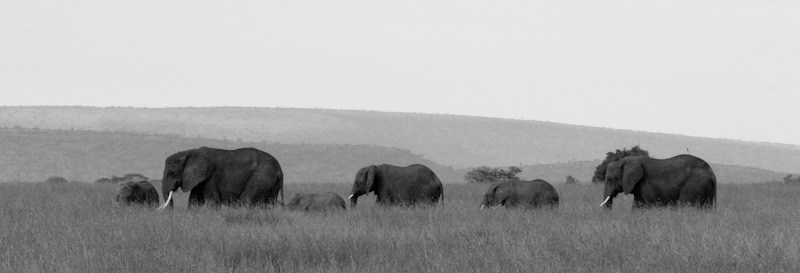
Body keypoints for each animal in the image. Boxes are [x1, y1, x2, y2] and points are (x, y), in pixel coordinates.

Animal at [156, 146, 284, 209]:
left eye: (172, 172)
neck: (189, 152)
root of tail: (279, 169)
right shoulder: (200, 179)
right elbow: (194, 201)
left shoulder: (210, 177)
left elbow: (212, 202)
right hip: (270, 181)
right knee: (268, 205)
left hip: (261, 177)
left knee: (246, 202)